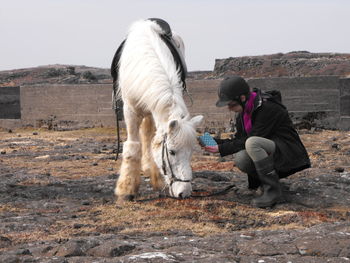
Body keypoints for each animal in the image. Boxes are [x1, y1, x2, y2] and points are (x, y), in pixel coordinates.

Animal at [112, 19, 204, 203]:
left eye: (191, 152)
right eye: (172, 152)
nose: (184, 192)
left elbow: (154, 141)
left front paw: (158, 180)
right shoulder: (130, 110)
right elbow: (132, 147)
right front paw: (127, 190)